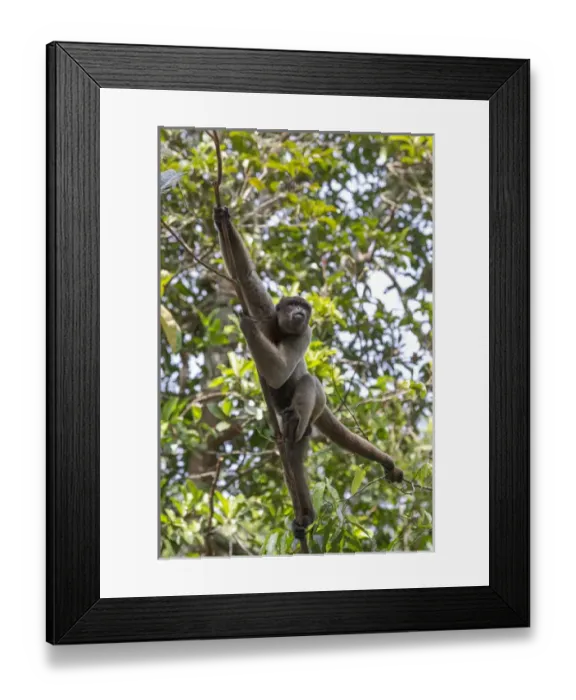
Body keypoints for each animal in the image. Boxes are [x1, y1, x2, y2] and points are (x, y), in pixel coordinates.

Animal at [213, 205, 403, 539]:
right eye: (292, 303)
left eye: (305, 306)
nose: (301, 312)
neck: (280, 329)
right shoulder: (267, 312)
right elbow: (245, 276)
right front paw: (222, 220)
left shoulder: (305, 333)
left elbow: (280, 372)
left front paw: (245, 326)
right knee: (293, 457)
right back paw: (306, 515)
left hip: (314, 412)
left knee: (308, 385)